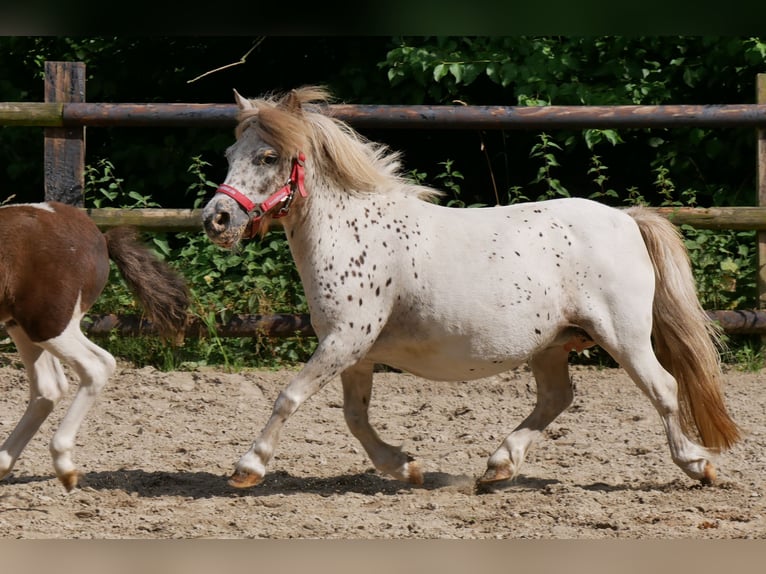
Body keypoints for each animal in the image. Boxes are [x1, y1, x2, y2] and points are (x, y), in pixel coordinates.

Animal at [0, 201, 189, 491]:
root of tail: (100, 237)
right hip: (22, 326)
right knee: (49, 387)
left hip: (49, 323)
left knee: (96, 365)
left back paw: (64, 465)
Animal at [201, 86, 741, 490]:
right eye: (229, 154)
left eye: (268, 156)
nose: (216, 219)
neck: (353, 230)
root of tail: (626, 220)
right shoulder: (354, 349)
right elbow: (354, 417)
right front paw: (406, 468)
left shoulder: (345, 338)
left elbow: (289, 397)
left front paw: (248, 467)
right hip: (550, 344)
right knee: (556, 398)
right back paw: (498, 466)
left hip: (622, 335)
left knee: (662, 387)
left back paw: (698, 465)